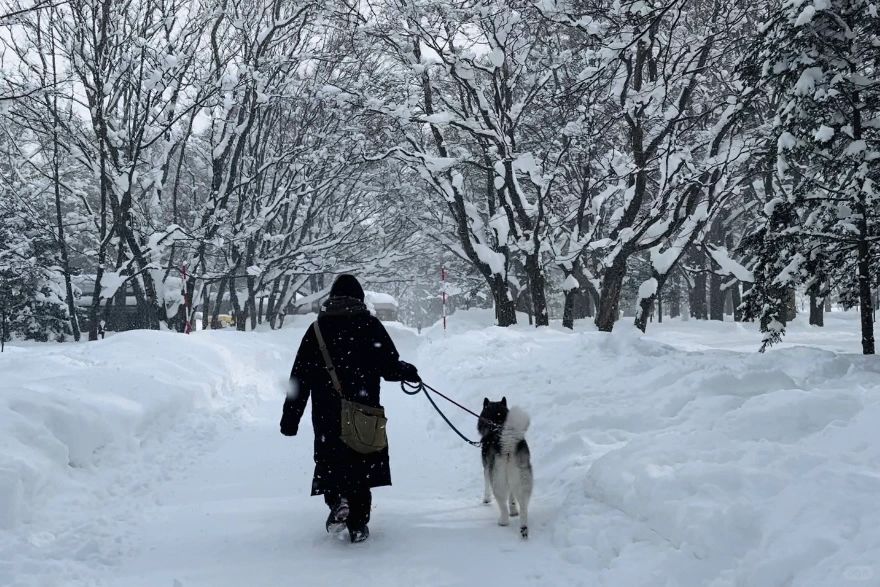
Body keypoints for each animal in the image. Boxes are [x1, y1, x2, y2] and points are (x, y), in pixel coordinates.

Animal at [478, 398, 532, 540]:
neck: (496, 422)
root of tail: (508, 444)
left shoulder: (486, 468)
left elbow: (486, 486)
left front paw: (486, 499)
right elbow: (512, 498)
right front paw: (514, 510)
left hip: (498, 480)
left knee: (502, 504)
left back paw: (503, 521)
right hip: (523, 479)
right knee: (523, 506)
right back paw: (523, 528)